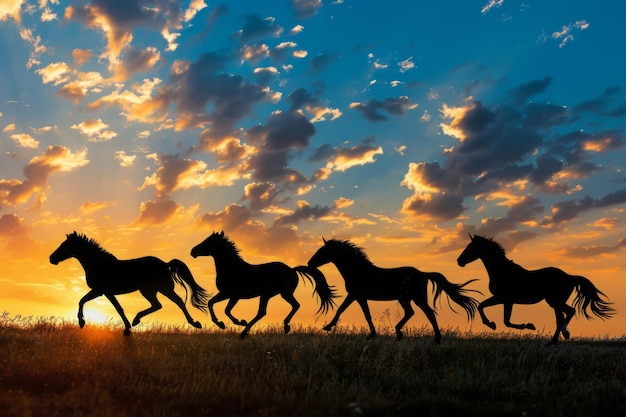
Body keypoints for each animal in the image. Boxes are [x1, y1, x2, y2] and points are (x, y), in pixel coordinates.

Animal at [50, 231, 208, 334]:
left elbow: (83, 301)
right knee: (167, 303)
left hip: (154, 290)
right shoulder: (106, 293)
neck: (99, 264)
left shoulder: (101, 291)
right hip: (157, 290)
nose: (51, 258)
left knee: (169, 303)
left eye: (65, 246)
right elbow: (117, 308)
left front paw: (82, 322)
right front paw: (127, 328)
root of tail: (165, 264)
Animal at [190, 231, 336, 338]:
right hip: (275, 294)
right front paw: (226, 323)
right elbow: (213, 304)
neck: (232, 268)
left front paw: (234, 323)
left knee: (270, 310)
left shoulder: (232, 295)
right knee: (286, 307)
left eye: (208, 241)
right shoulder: (229, 295)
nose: (192, 251)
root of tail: (292, 269)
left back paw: (248, 331)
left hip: (274, 294)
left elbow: (224, 309)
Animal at [304, 237, 476, 342]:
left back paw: (429, 337)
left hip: (411, 298)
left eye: (322, 251)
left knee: (426, 313)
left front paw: (327, 327)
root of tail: (422, 273)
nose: (309, 263)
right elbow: (364, 314)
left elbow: (344, 310)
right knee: (415, 313)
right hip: (407, 298)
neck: (358, 270)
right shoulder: (359, 297)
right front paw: (371, 334)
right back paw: (403, 334)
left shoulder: (355, 295)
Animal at [456, 234, 612, 344]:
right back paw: (555, 340)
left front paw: (492, 324)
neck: (502, 271)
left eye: (470, 248)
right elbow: (504, 320)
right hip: (554, 303)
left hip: (554, 301)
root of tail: (569, 277)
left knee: (569, 313)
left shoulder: (503, 298)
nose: (459, 261)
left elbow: (484, 307)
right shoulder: (508, 300)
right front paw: (528, 325)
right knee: (561, 318)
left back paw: (560, 335)